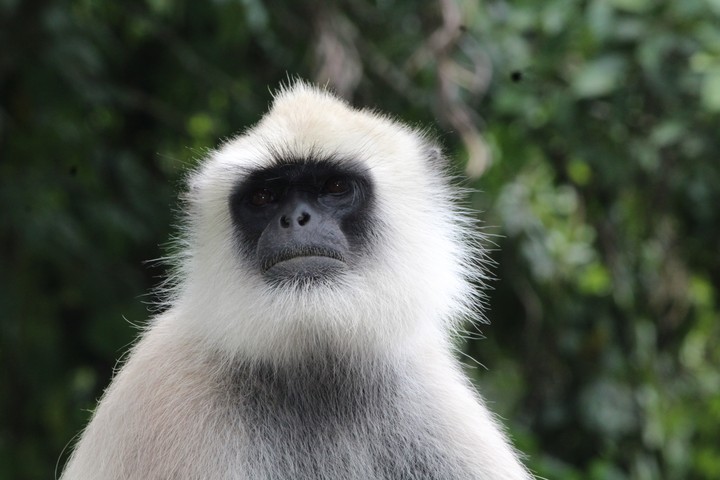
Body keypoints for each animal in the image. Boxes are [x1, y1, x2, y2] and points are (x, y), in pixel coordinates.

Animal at [60, 81, 533, 480]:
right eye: (264, 197)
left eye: (336, 187)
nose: (295, 219)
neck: (314, 370)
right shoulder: (166, 392)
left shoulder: (429, 394)